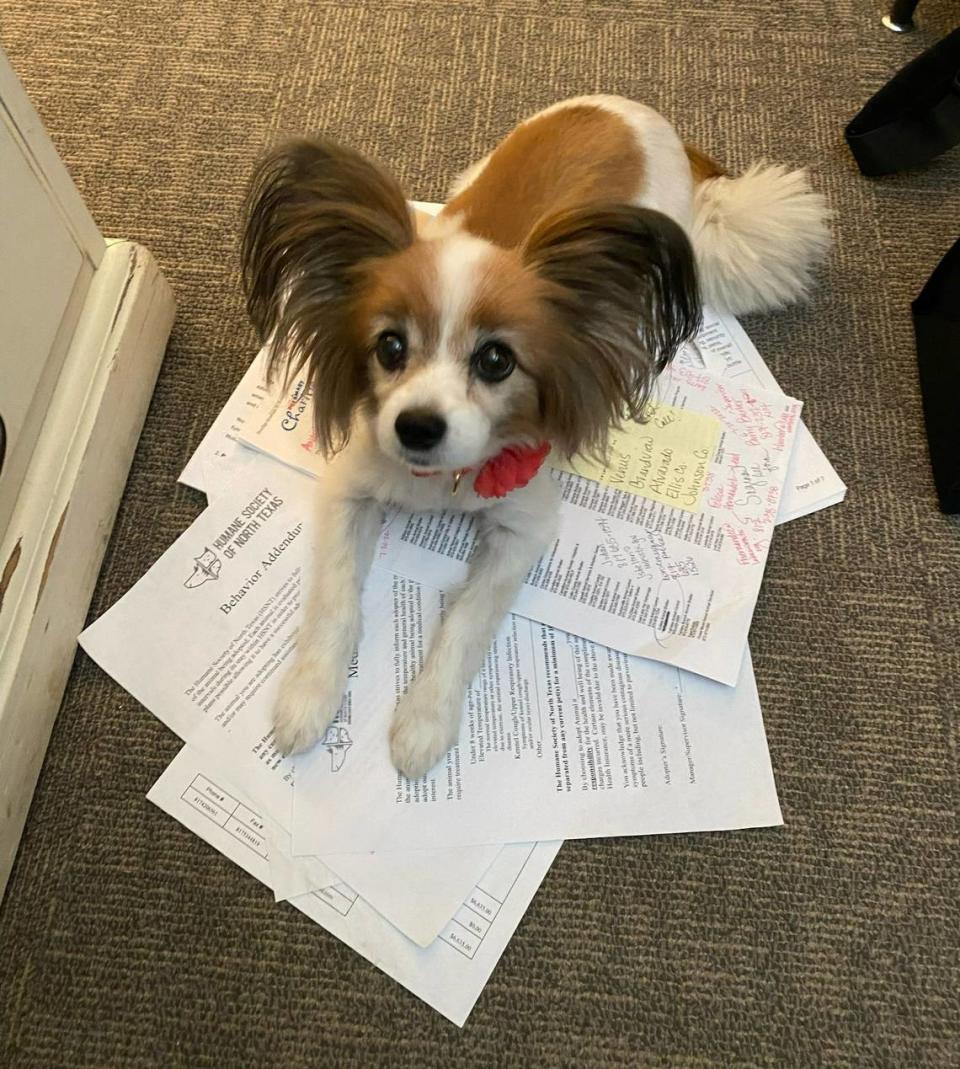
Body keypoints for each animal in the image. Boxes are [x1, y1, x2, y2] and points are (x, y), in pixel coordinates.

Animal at [241, 94, 829, 778]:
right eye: (389, 347)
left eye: (497, 361)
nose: (416, 427)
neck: (444, 479)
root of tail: (632, 110)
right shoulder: (350, 489)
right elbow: (334, 599)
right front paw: (308, 696)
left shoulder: (522, 530)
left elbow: (466, 621)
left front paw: (424, 721)